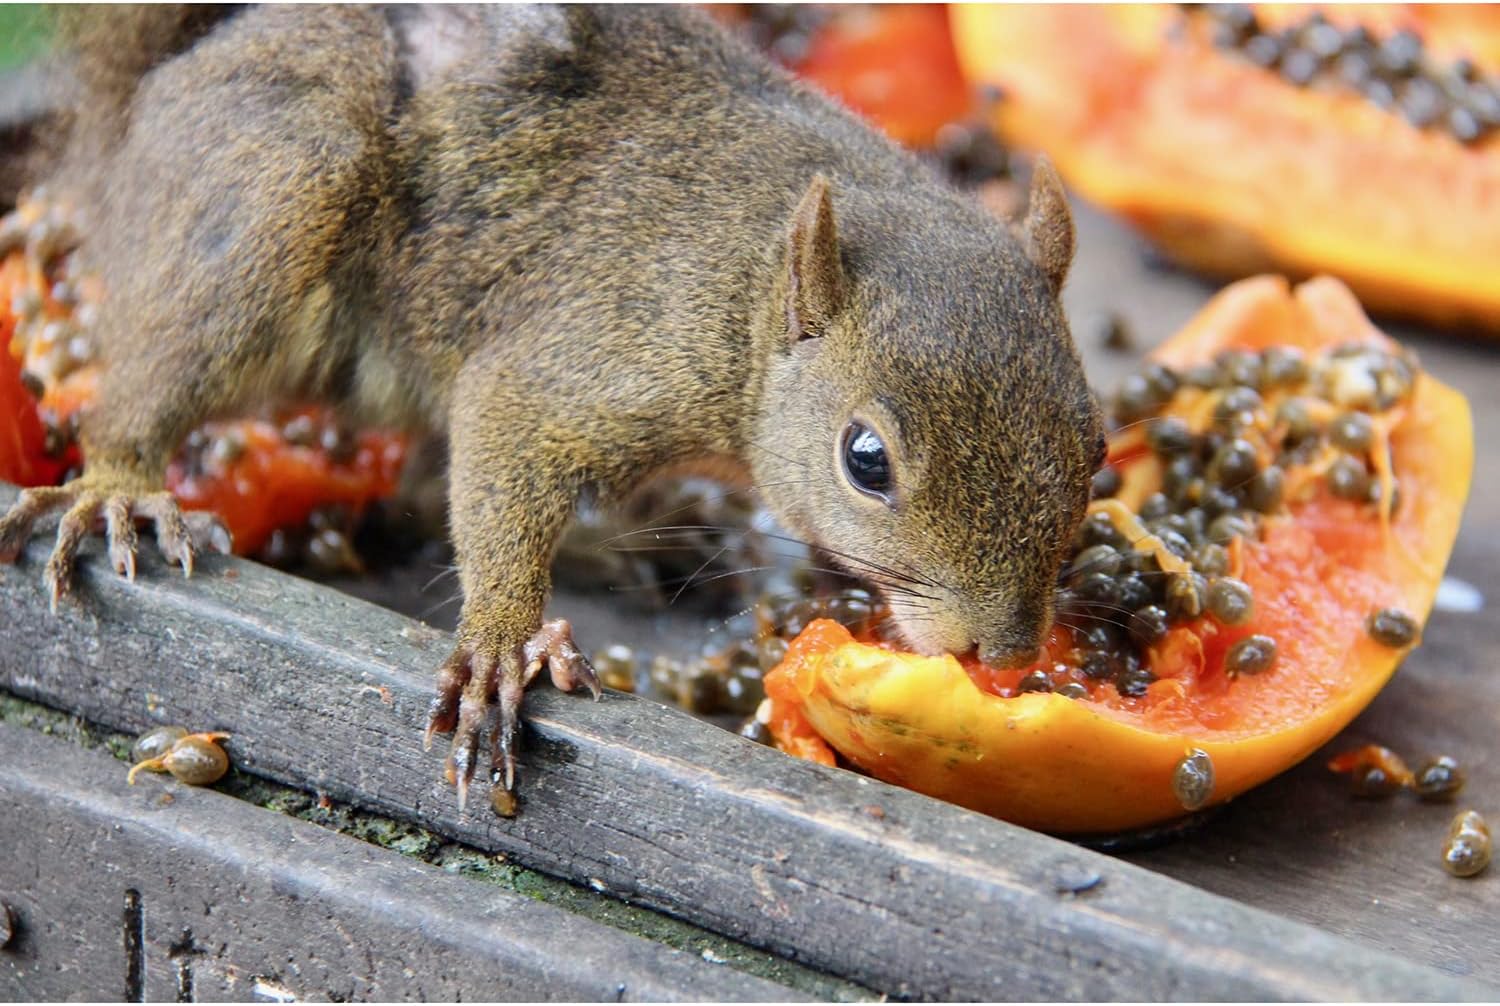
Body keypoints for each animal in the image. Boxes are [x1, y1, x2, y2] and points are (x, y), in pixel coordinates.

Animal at [0, 5, 1105, 813]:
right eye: (865, 458)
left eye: (1094, 446)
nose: (1004, 654)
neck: (750, 279)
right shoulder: (585, 354)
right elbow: (504, 444)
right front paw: (499, 645)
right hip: (276, 193)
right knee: (160, 378)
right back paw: (117, 489)